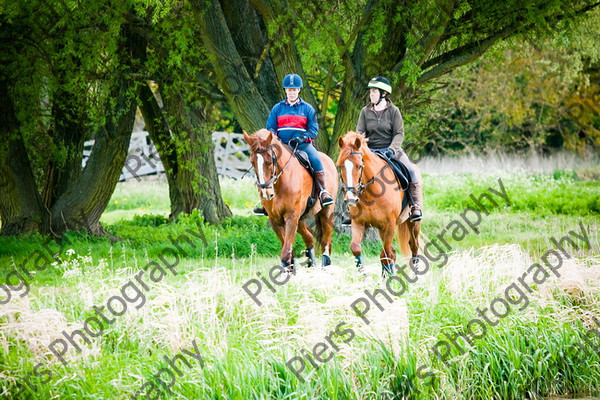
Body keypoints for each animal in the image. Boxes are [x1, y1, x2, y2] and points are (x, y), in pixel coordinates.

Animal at [244, 130, 338, 274]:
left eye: (270, 161)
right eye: (252, 162)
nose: (266, 193)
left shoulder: (291, 217)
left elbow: (286, 252)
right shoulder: (276, 220)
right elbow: (288, 251)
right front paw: (290, 271)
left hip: (326, 212)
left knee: (326, 240)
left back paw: (325, 265)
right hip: (300, 219)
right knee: (309, 236)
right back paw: (311, 263)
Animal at [338, 133, 422, 276]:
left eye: (359, 166)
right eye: (340, 166)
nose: (351, 199)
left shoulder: (389, 225)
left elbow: (386, 253)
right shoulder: (359, 223)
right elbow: (356, 248)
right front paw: (365, 277)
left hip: (412, 223)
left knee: (413, 246)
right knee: (392, 252)